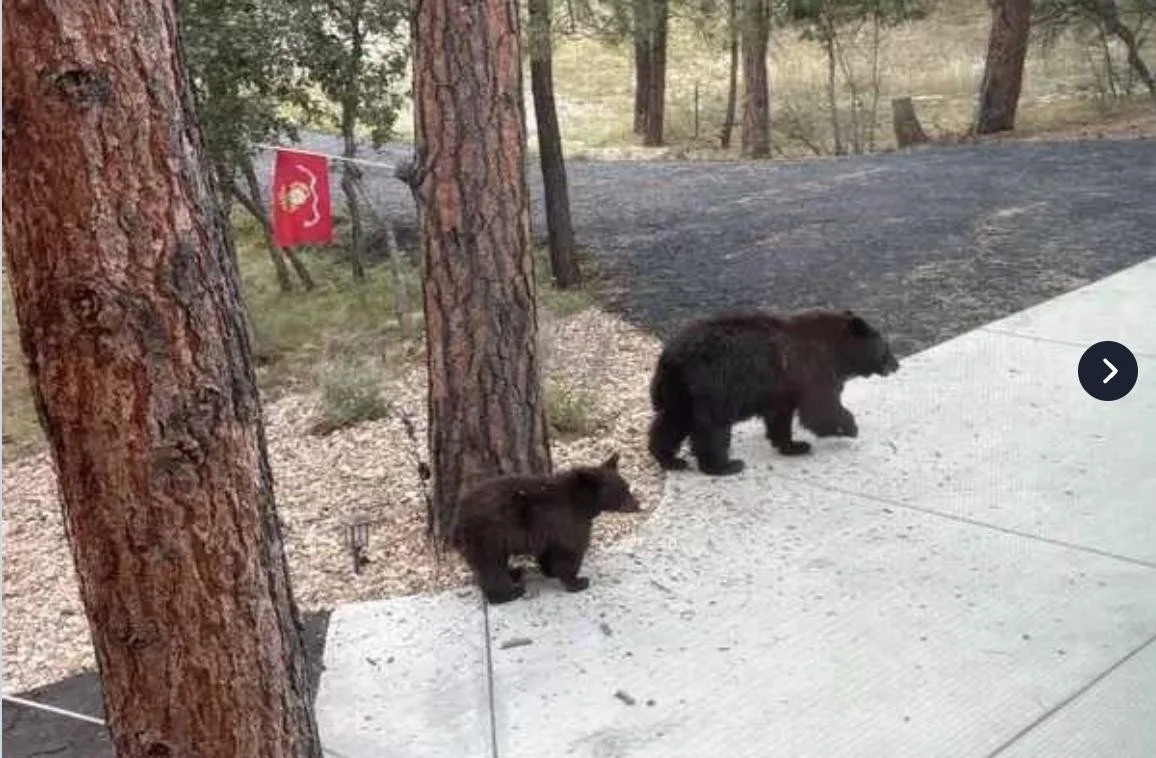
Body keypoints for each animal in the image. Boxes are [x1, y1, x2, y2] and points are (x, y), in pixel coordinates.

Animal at [448, 453, 641, 605]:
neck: (585, 503)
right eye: (622, 490)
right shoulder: (568, 521)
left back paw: (514, 572)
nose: (637, 505)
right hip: (488, 536)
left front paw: (550, 571)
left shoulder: (549, 533)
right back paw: (510, 593)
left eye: (627, 486)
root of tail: (458, 519)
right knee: (491, 567)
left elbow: (551, 553)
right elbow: (570, 552)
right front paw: (578, 582)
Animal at [647, 308, 899, 476]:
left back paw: (669, 458)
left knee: (671, 422)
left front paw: (793, 446)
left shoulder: (782, 389)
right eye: (886, 348)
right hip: (713, 386)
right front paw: (849, 427)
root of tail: (671, 357)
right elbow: (820, 408)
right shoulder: (812, 369)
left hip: (680, 392)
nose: (896, 365)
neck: (837, 349)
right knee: (711, 428)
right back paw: (724, 465)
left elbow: (781, 417)